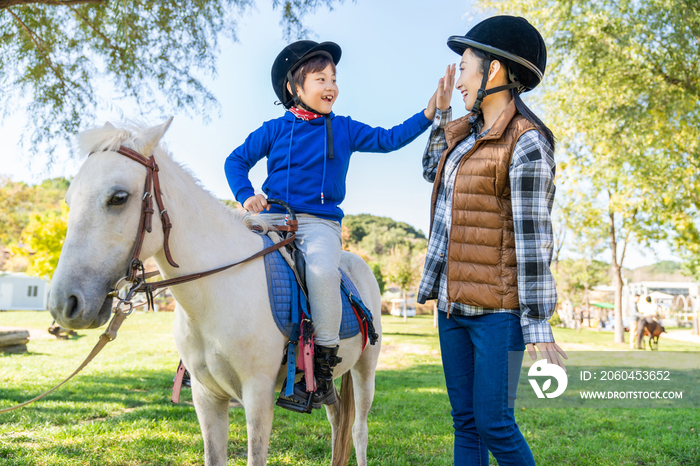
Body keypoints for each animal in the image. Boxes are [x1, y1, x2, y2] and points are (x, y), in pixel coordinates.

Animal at [49, 120, 382, 466]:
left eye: (118, 197)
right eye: (69, 200)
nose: (64, 304)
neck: (214, 296)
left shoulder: (257, 395)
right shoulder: (206, 395)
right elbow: (214, 455)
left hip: (365, 370)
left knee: (357, 430)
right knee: (336, 419)